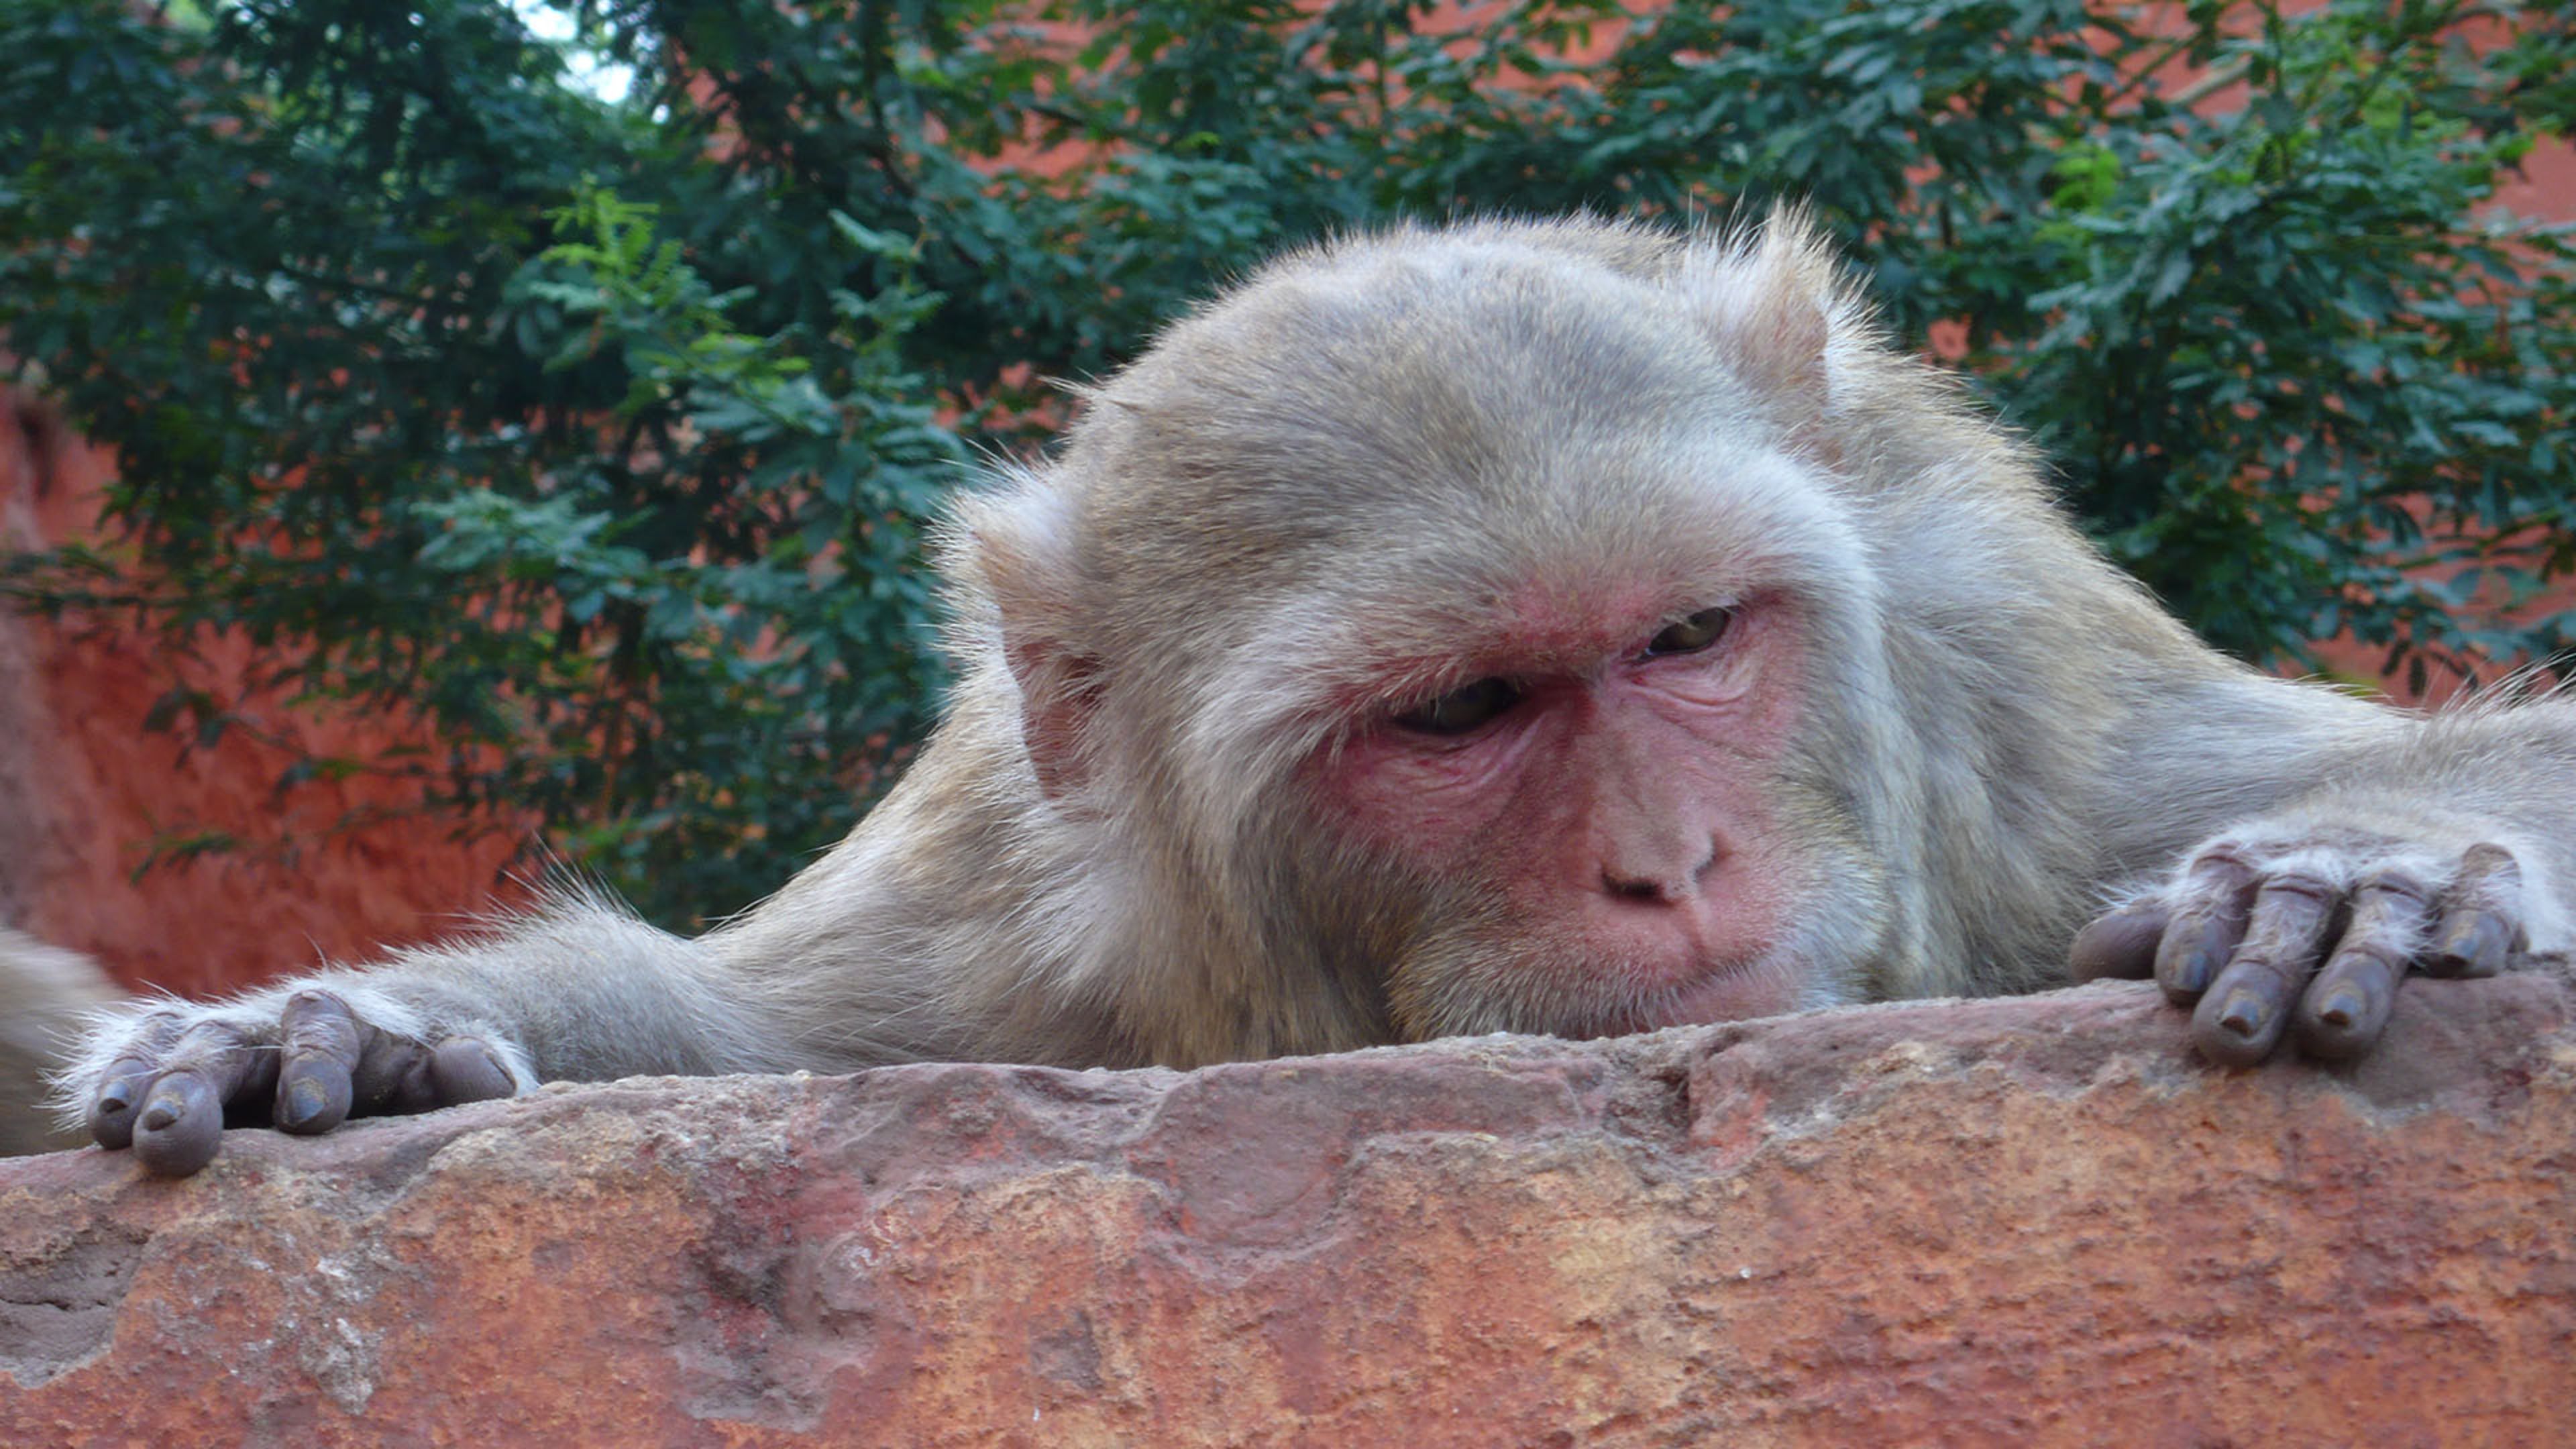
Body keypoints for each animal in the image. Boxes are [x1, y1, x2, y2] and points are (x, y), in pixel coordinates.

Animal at [51, 211, 2576, 1178]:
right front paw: (347, 1037)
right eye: (1456, 719)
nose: (1670, 864)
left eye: (1685, 642)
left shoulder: (1998, 704)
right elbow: (744, 1031)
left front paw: (2350, 864)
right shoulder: (1038, 924)